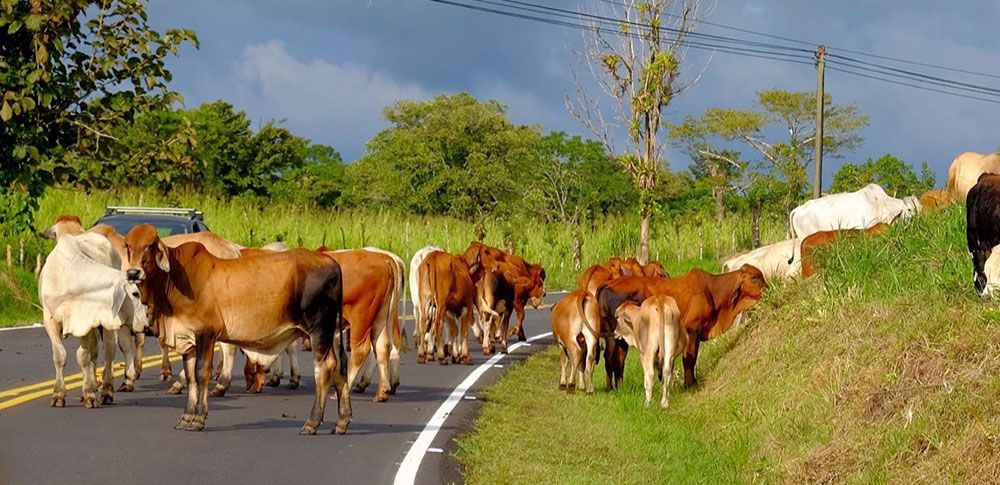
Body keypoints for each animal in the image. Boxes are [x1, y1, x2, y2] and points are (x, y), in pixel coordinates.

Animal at [124, 222, 352, 432]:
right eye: (128, 245)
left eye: (151, 245)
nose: (133, 273)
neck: (173, 279)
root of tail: (331, 261)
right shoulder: (185, 337)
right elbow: (190, 377)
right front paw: (186, 417)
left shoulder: (206, 333)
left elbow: (201, 373)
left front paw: (198, 418)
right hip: (329, 332)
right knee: (338, 365)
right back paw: (342, 421)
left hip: (318, 328)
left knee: (324, 368)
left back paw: (312, 422)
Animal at [596, 264, 768, 390]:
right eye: (754, 277)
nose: (768, 288)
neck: (712, 290)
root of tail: (609, 283)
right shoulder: (692, 329)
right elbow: (690, 359)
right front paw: (690, 384)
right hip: (615, 335)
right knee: (611, 359)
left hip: (618, 337)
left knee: (617, 359)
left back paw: (618, 387)